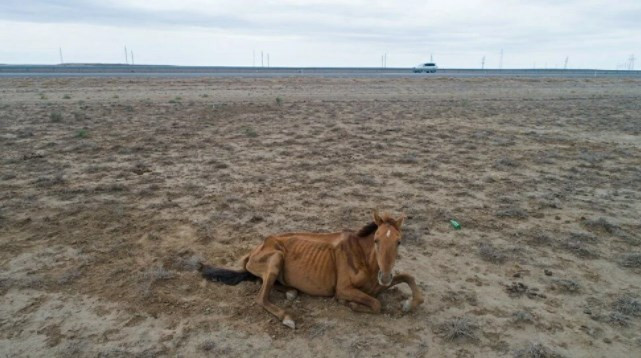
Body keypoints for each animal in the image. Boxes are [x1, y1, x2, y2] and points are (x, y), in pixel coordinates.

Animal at [198, 210, 422, 330]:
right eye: (376, 240)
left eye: (399, 242)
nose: (385, 276)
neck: (363, 258)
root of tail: (256, 249)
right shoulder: (344, 289)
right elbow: (376, 304)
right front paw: (349, 304)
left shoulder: (377, 285)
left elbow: (408, 277)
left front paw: (409, 304)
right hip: (276, 258)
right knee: (261, 296)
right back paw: (287, 318)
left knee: (265, 283)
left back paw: (291, 292)